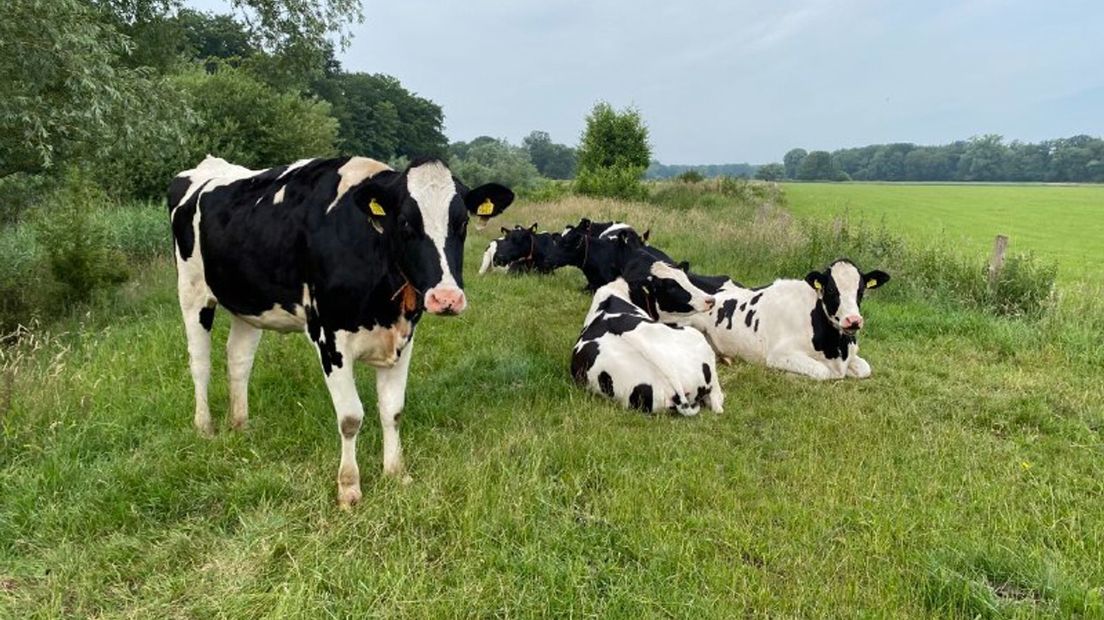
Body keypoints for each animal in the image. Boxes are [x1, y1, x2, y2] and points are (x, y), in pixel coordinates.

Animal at [167, 152, 512, 505]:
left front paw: (396, 473)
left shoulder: (403, 338)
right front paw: (349, 487)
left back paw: (241, 424)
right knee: (200, 363)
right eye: (405, 223)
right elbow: (350, 417)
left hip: (248, 304)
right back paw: (205, 427)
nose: (447, 298)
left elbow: (393, 410)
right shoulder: (329, 338)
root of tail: (210, 165)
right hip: (192, 292)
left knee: (238, 360)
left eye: (462, 223)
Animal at [684, 258, 892, 379]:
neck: (836, 349)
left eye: (861, 291)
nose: (853, 320)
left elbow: (865, 368)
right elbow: (822, 371)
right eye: (832, 290)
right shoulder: (778, 355)